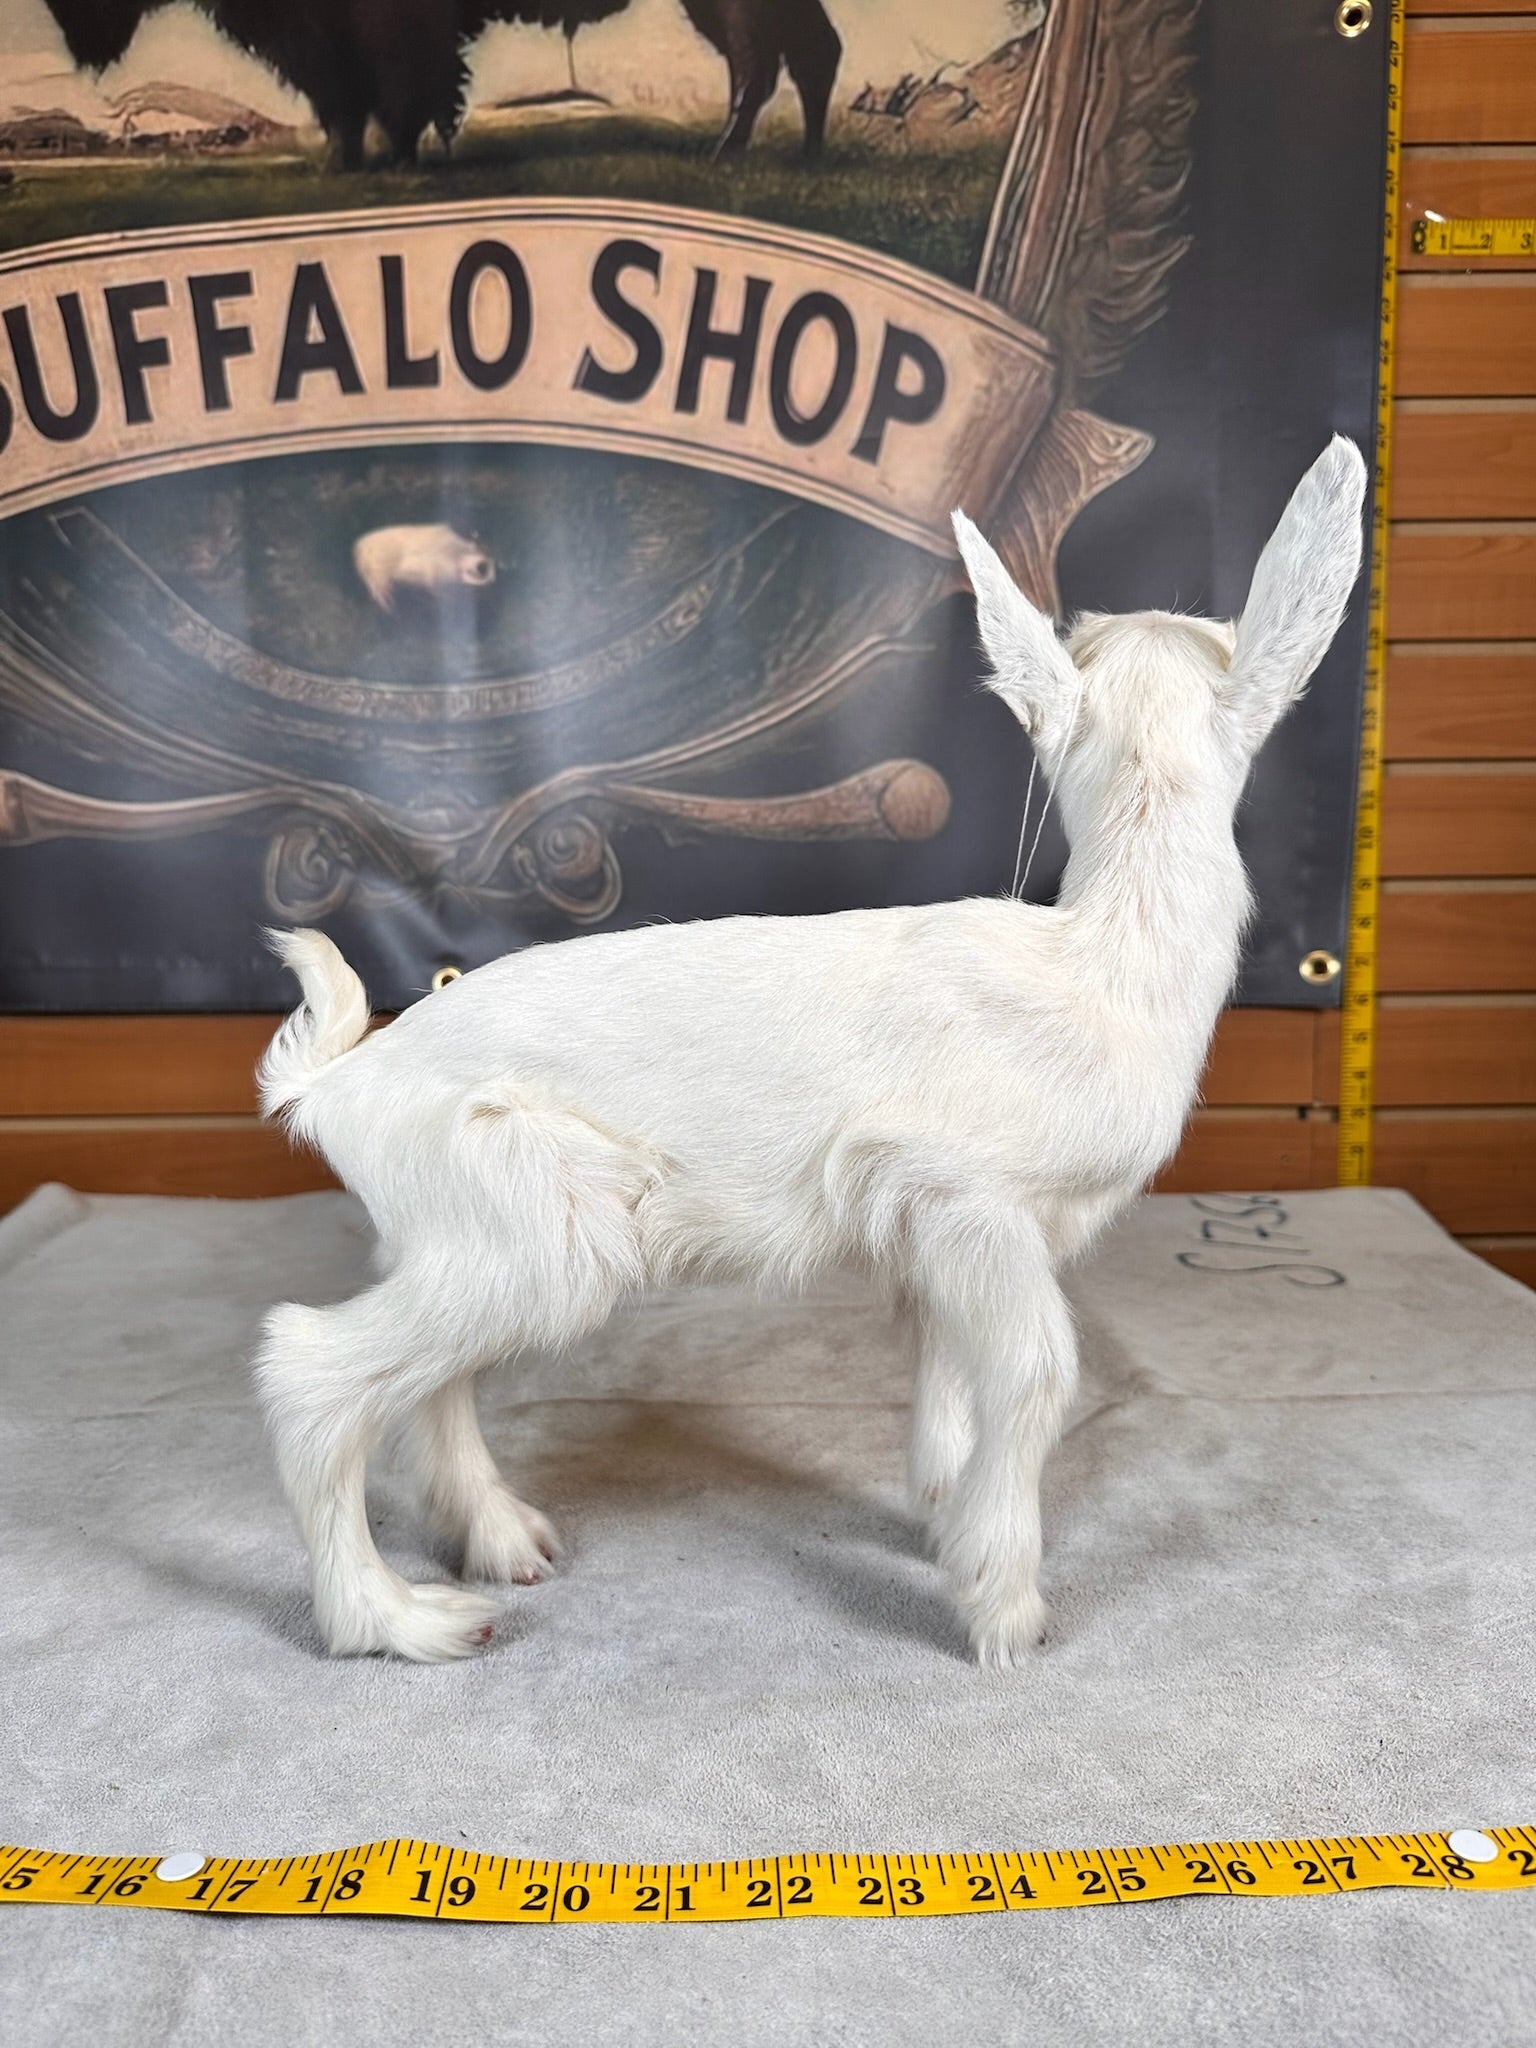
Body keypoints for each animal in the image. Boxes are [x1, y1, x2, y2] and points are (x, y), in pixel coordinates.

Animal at [255, 438, 1367, 1665]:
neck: (1102, 962)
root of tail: (335, 1082)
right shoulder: (969, 1193)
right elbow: (1035, 1372)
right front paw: (1002, 1606)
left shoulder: (946, 1235)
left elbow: (949, 1368)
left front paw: (940, 1514)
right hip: (538, 1231)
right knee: (309, 1369)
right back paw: (402, 1618)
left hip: (458, 1237)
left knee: (427, 1382)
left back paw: (503, 1540)